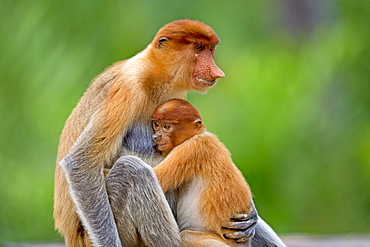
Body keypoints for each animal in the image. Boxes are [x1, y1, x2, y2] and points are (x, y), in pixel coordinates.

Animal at [150, 99, 254, 247]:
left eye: (167, 126)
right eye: (156, 125)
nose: (156, 137)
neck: (197, 134)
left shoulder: (193, 147)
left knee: (186, 236)